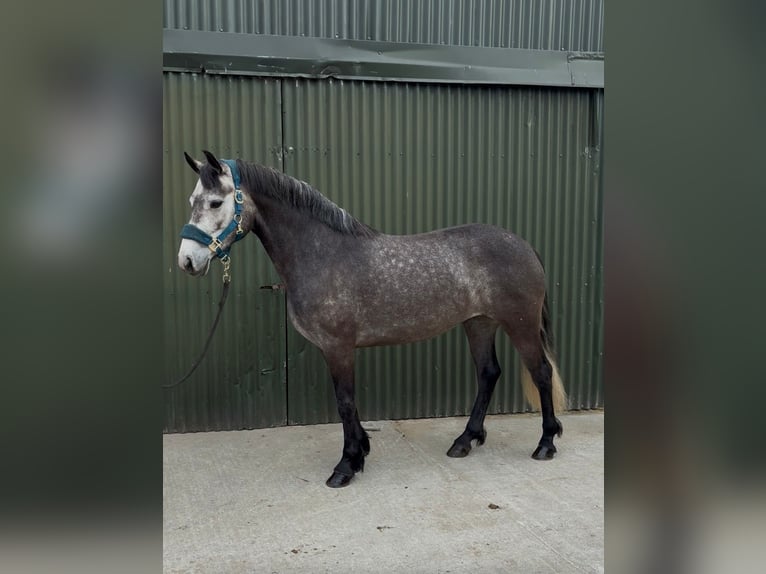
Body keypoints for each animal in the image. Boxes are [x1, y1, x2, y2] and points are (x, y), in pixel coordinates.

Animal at [176, 150, 567, 488]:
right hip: (479, 323)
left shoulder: (338, 348)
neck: (322, 253)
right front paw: (361, 450)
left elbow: (345, 402)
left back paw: (545, 443)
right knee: (488, 374)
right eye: (193, 200)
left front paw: (347, 465)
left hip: (520, 323)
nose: (187, 261)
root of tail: (523, 245)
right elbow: (347, 403)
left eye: (215, 202)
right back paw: (465, 440)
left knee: (541, 372)